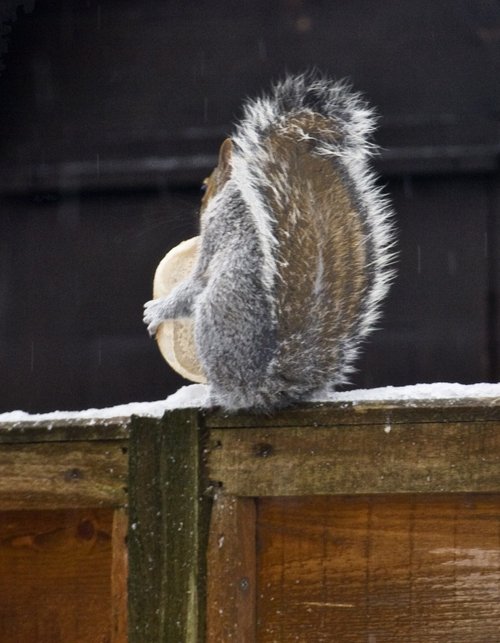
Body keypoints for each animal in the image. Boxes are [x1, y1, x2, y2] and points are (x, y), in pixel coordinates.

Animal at [144, 73, 395, 411]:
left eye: (203, 187)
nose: (201, 205)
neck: (238, 189)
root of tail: (265, 386)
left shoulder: (219, 229)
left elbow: (195, 283)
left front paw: (157, 310)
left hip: (215, 318)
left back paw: (215, 396)